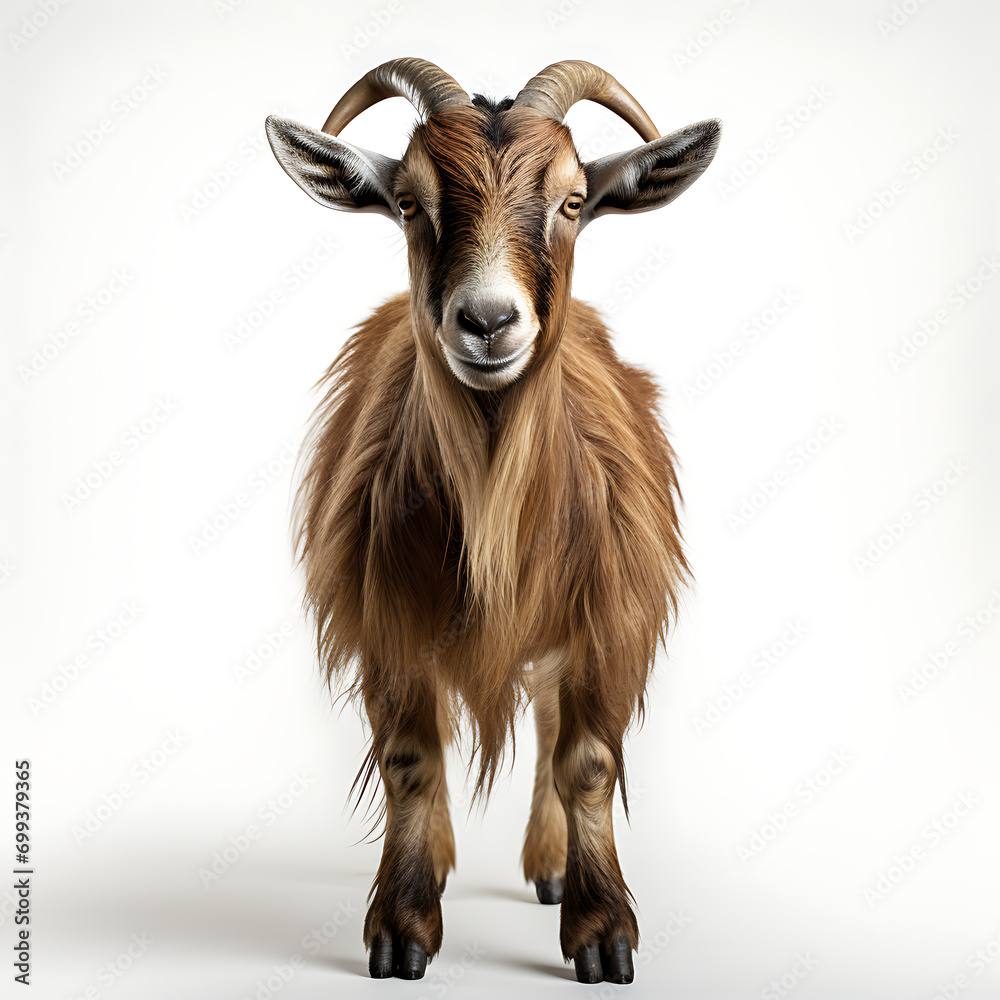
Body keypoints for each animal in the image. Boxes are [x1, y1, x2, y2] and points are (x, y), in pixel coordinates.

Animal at [265, 58, 720, 985]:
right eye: (409, 202)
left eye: (574, 200)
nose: (486, 321)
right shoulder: (386, 616)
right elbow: (410, 759)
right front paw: (402, 927)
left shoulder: (607, 617)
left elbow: (585, 760)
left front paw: (600, 934)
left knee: (547, 718)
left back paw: (549, 866)